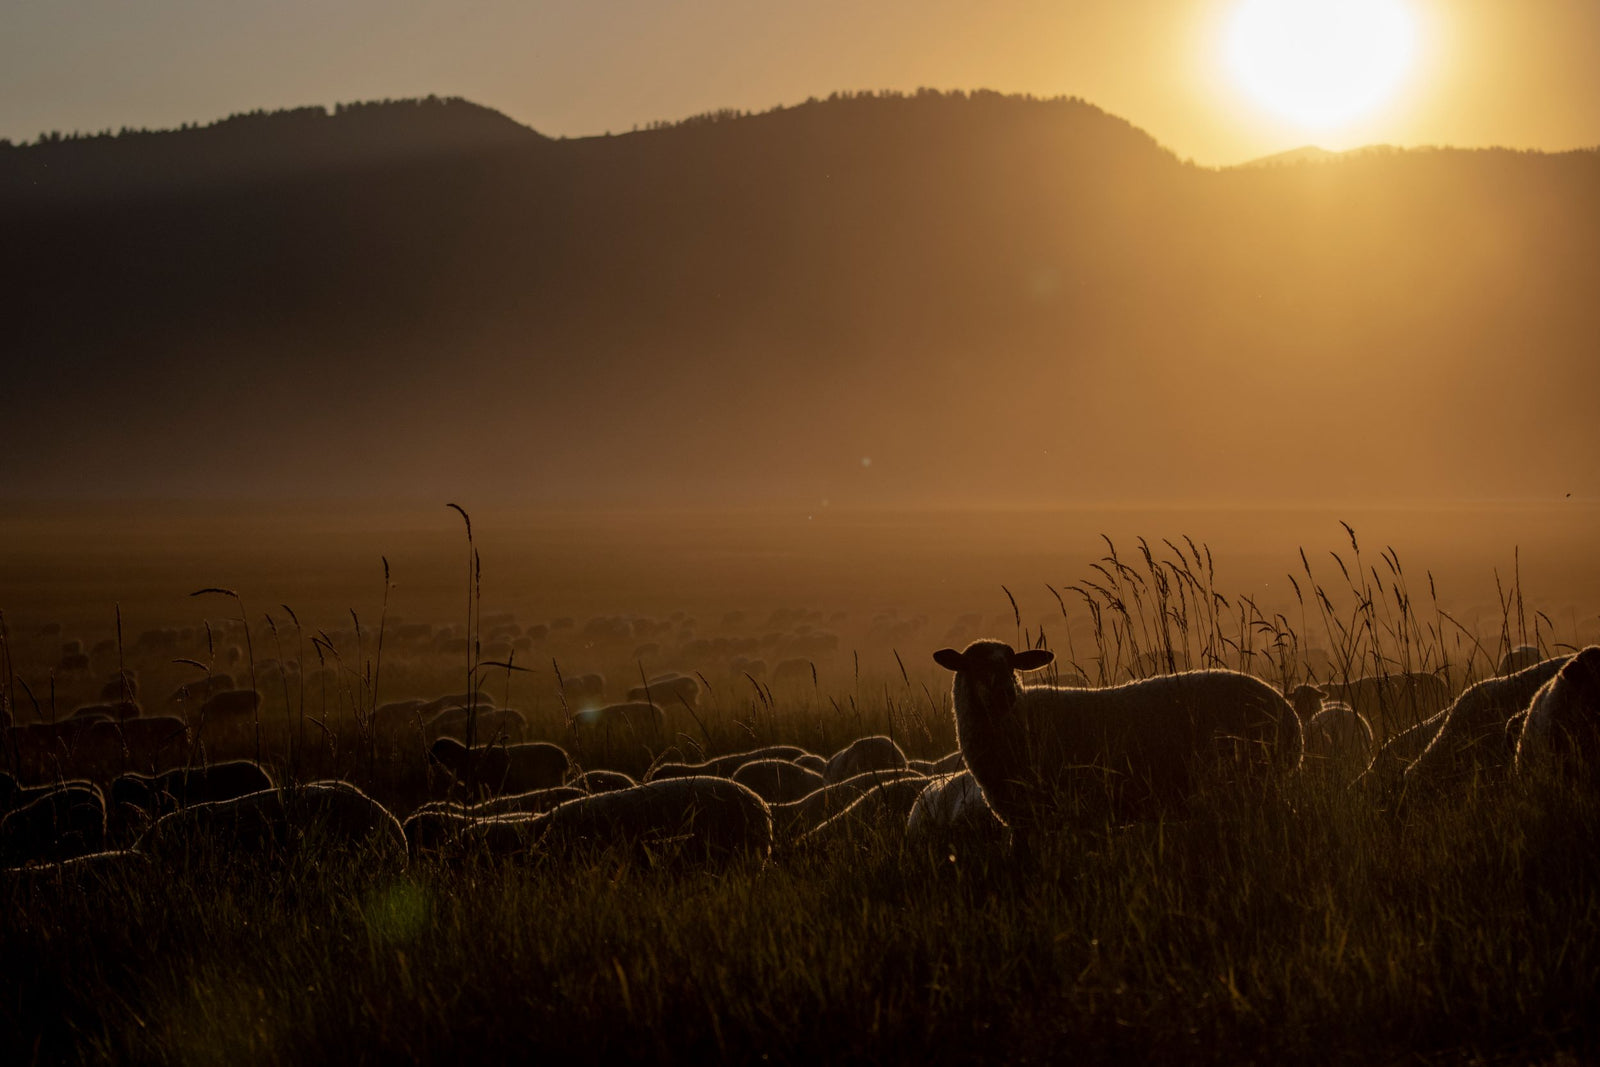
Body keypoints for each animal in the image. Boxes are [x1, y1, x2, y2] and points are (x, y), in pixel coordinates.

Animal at [935, 640, 1302, 831]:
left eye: (1012, 666)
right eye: (973, 667)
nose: (1005, 695)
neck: (1017, 719)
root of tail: (1290, 715)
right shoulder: (1024, 822)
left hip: (1252, 783)